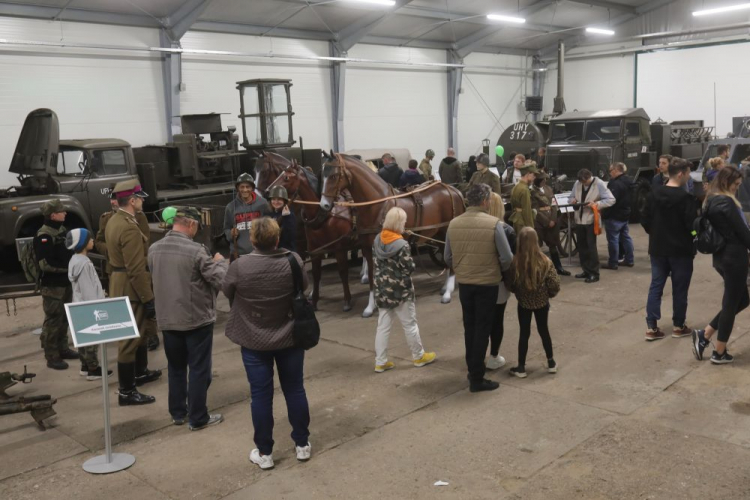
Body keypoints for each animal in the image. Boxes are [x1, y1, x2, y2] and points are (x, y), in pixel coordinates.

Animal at [258, 151, 362, 312]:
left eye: (286, 177)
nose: (268, 192)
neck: (324, 214)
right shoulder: (314, 248)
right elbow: (315, 273)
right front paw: (314, 300)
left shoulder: (338, 248)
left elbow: (343, 271)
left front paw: (346, 300)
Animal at [318, 152, 464, 316]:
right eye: (322, 175)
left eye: (334, 176)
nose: (324, 205)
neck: (377, 205)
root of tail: (454, 191)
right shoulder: (367, 248)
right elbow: (371, 276)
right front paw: (371, 306)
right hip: (438, 234)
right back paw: (445, 287)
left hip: (447, 232)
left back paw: (448, 293)